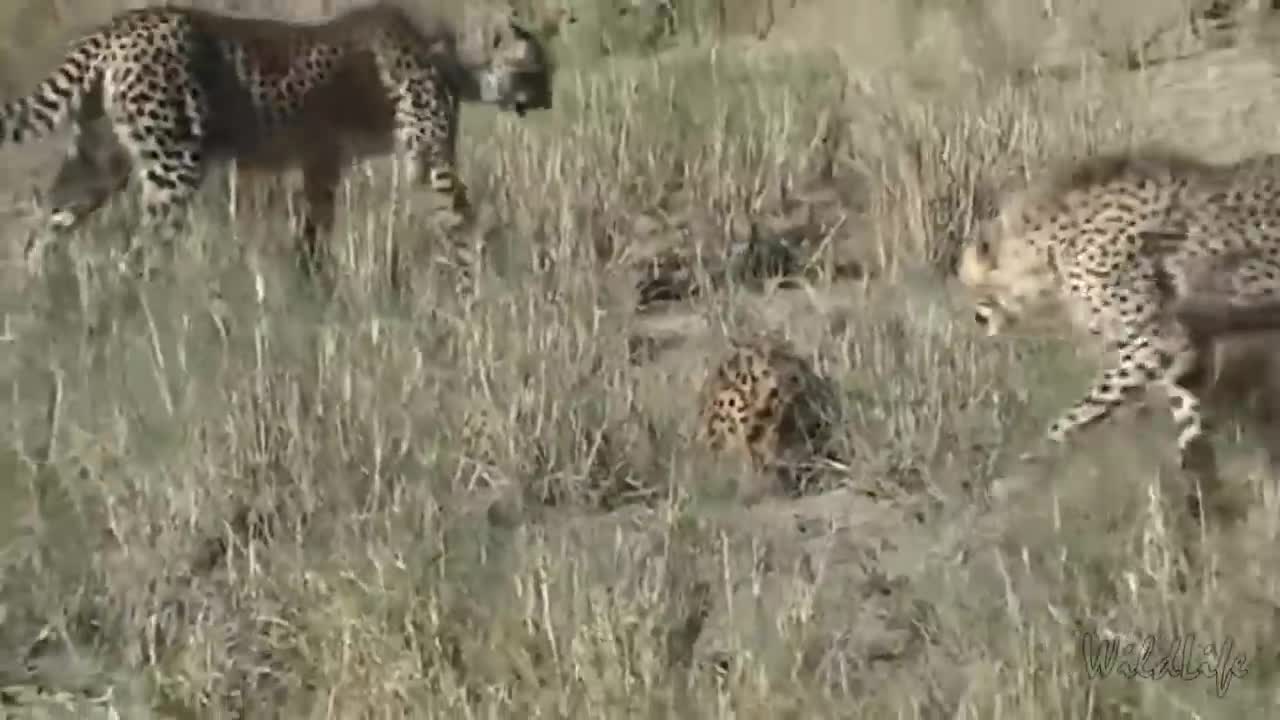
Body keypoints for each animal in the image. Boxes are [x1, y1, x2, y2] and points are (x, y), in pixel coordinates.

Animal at [6, 2, 555, 275]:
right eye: (537, 67)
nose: (549, 98)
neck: (451, 54)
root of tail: (124, 22)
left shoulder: (322, 161)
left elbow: (314, 230)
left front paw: (312, 288)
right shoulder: (427, 160)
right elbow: (463, 220)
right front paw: (487, 282)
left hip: (101, 162)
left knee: (42, 231)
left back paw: (42, 315)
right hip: (174, 164)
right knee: (138, 252)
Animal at [957, 147, 1280, 520]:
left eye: (971, 287)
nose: (974, 318)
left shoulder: (1159, 343)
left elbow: (1072, 418)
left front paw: (1017, 478)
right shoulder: (1186, 353)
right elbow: (1190, 425)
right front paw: (1201, 502)